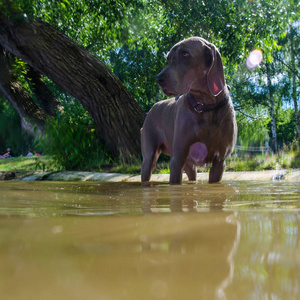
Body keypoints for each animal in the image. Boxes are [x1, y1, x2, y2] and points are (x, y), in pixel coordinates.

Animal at [141, 36, 237, 184]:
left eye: (185, 54)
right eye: (168, 58)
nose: (159, 79)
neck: (205, 106)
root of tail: (152, 109)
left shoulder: (220, 161)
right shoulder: (177, 159)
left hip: (190, 165)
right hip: (149, 156)